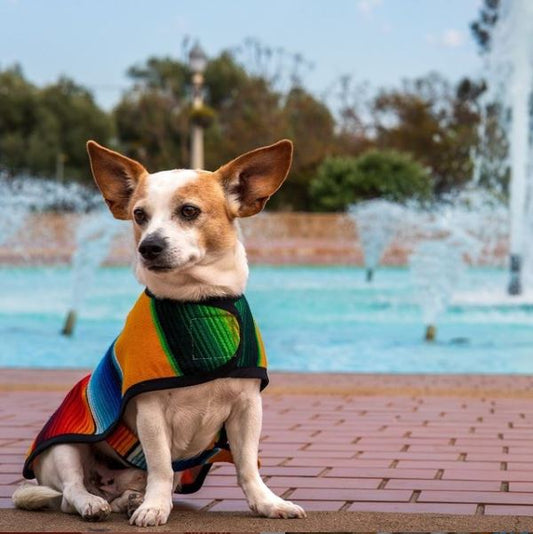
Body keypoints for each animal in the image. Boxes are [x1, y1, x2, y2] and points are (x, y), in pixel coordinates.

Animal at [12, 139, 306, 528]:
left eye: (189, 211)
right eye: (139, 215)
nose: (148, 246)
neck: (197, 304)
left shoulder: (247, 407)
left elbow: (246, 465)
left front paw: (267, 502)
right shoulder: (150, 414)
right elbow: (162, 466)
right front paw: (154, 508)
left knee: (124, 489)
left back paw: (129, 499)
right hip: (63, 449)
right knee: (72, 492)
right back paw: (95, 503)